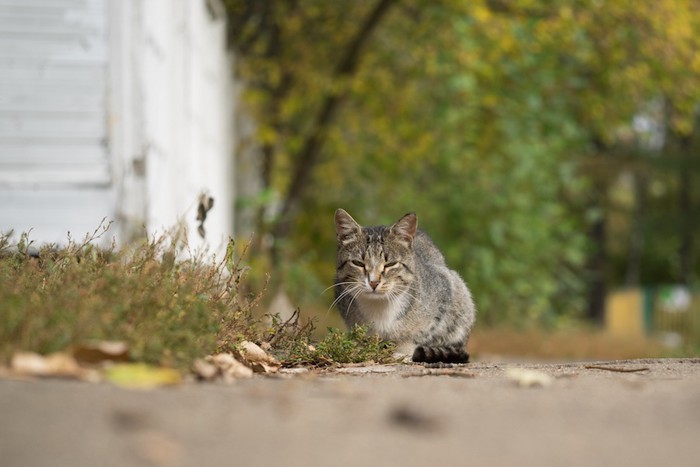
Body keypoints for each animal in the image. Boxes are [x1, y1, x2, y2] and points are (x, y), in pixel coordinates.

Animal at [334, 209, 476, 366]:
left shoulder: (445, 290)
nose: (373, 282)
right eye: (358, 263)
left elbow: (415, 335)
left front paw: (403, 351)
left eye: (390, 264)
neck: (380, 306)